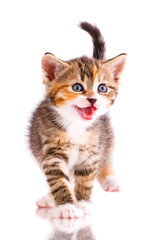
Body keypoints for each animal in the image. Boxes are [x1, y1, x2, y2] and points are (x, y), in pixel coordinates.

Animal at [28, 21, 126, 218]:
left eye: (102, 88)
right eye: (77, 87)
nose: (93, 99)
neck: (76, 126)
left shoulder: (91, 152)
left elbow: (86, 178)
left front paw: (82, 203)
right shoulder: (51, 153)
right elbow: (58, 180)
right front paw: (67, 206)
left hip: (106, 134)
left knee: (107, 152)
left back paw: (109, 179)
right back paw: (49, 198)